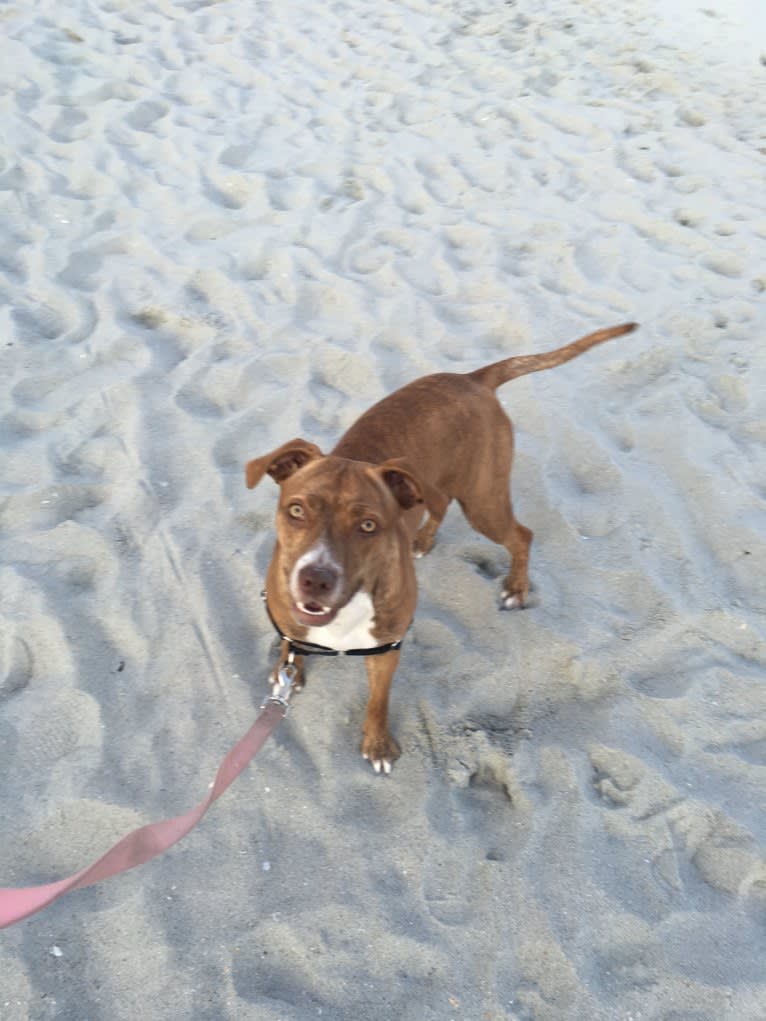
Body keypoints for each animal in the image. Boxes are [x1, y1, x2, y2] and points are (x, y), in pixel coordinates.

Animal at [246, 324, 637, 771]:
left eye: (368, 526)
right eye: (296, 510)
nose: (315, 579)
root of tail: (473, 379)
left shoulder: (387, 651)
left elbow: (378, 700)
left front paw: (378, 744)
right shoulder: (290, 622)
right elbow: (291, 647)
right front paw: (288, 670)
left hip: (483, 502)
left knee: (521, 534)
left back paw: (516, 588)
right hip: (443, 487)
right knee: (441, 502)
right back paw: (423, 540)